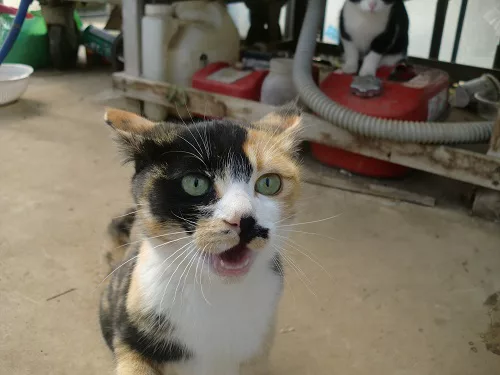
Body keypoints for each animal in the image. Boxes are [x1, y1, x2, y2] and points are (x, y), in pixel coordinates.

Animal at [97, 106, 300, 375]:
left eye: (269, 183)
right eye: (195, 183)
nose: (245, 221)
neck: (214, 293)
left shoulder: (257, 353)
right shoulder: (132, 338)